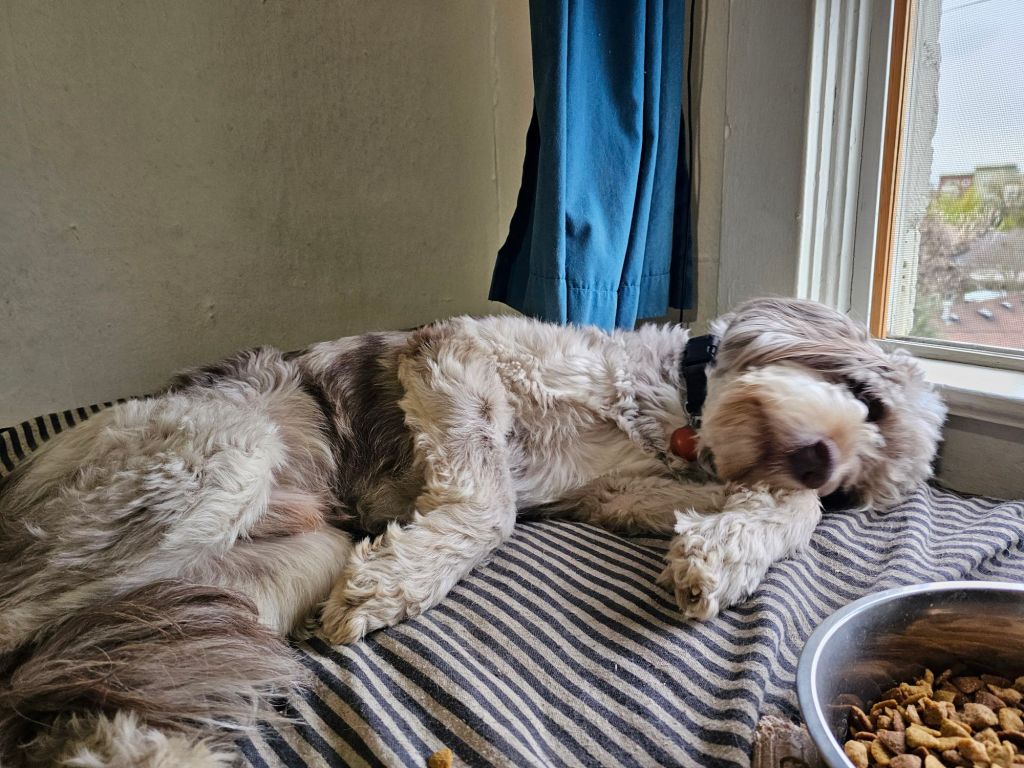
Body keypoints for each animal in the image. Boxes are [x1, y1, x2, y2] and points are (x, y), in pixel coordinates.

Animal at [0, 297, 945, 766]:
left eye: (860, 491)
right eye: (867, 396)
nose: (824, 465)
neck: (670, 417)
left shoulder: (613, 495)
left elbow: (779, 514)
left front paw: (718, 556)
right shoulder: (454, 359)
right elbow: (488, 508)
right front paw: (397, 581)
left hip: (255, 574)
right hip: (216, 465)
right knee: (18, 619)